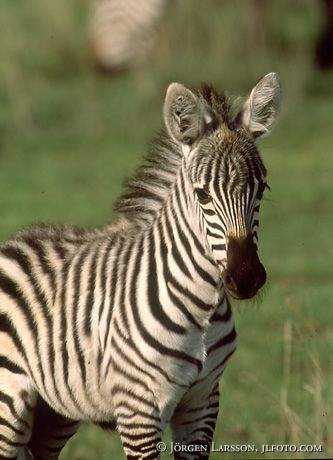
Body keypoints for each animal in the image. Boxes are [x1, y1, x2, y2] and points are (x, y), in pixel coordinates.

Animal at [0, 73, 280, 460]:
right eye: (202, 195)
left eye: (262, 189)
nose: (246, 277)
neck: (202, 306)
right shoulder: (139, 409)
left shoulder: (203, 402)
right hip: (8, 404)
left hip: (54, 411)